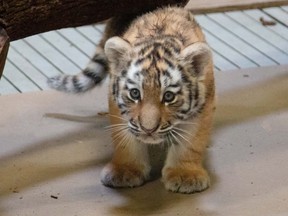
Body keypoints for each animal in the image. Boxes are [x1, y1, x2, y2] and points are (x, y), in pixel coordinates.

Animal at [47, 6, 214, 193]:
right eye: (135, 93)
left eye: (168, 96)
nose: (149, 130)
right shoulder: (118, 108)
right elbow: (125, 141)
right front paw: (125, 172)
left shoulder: (202, 109)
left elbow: (190, 143)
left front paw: (185, 176)